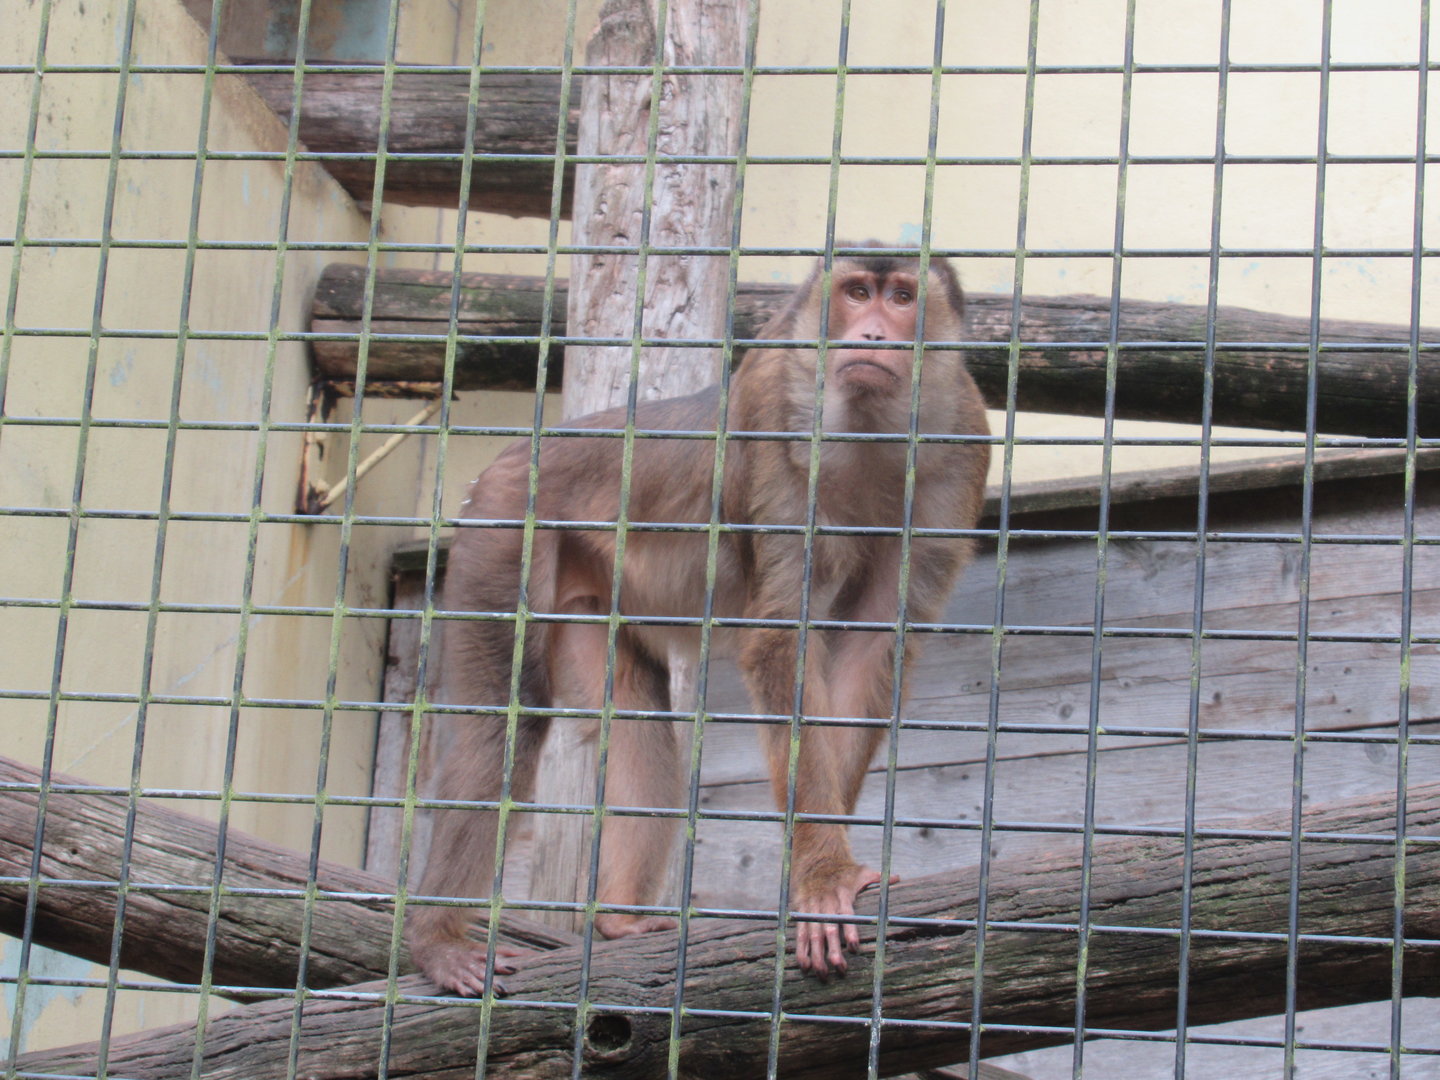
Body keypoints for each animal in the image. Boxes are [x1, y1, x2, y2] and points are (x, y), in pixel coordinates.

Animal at [407, 247, 990, 996]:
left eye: (902, 298)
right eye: (858, 293)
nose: (871, 333)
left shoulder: (962, 445)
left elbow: (872, 646)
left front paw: (822, 867)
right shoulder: (772, 413)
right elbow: (779, 642)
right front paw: (824, 875)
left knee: (634, 710)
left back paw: (617, 920)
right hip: (504, 523)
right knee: (508, 717)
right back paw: (436, 941)